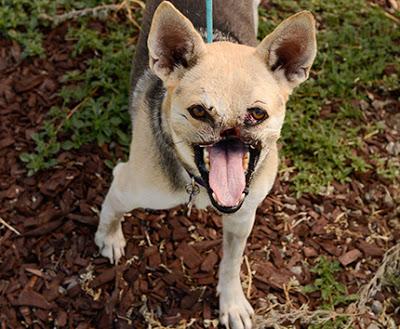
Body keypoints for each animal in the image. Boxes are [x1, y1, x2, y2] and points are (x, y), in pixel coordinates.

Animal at [95, 1, 318, 326]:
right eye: (199, 111)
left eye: (258, 114)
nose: (229, 133)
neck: (199, 183)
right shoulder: (126, 184)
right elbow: (111, 210)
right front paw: (108, 238)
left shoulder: (242, 217)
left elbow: (231, 262)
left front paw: (232, 303)